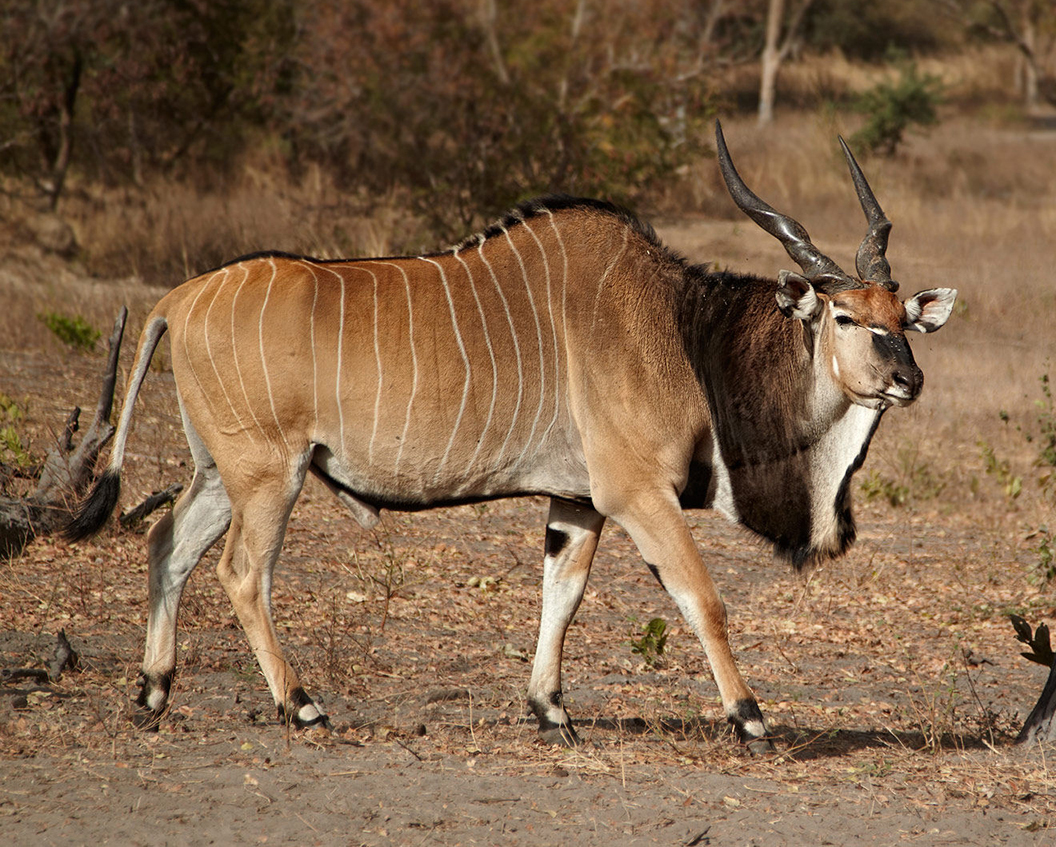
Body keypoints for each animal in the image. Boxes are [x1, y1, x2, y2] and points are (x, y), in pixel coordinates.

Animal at [63, 121, 958, 747]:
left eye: (902, 316)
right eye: (846, 317)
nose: (909, 379)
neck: (680, 329)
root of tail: (179, 297)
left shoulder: (578, 503)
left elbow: (561, 594)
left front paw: (551, 710)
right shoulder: (637, 495)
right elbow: (703, 599)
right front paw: (751, 716)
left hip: (222, 472)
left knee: (169, 545)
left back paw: (153, 691)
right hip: (269, 474)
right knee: (243, 572)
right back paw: (303, 705)